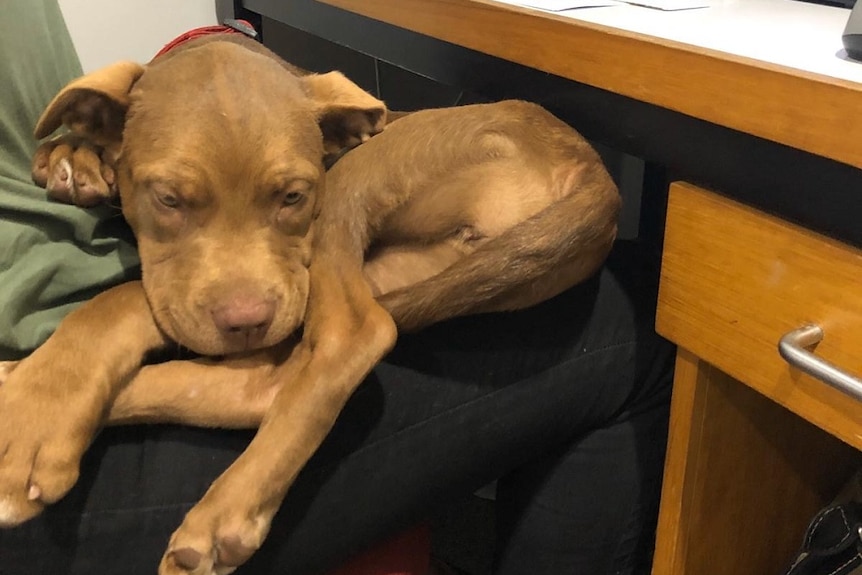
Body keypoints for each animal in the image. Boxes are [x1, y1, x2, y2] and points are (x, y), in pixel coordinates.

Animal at [0, 35, 620, 575]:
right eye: (169, 199)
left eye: (293, 197)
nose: (248, 324)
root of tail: (595, 177)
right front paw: (74, 160)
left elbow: (119, 302)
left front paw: (35, 418)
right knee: (264, 385)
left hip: (354, 183)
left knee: (356, 330)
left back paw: (226, 511)